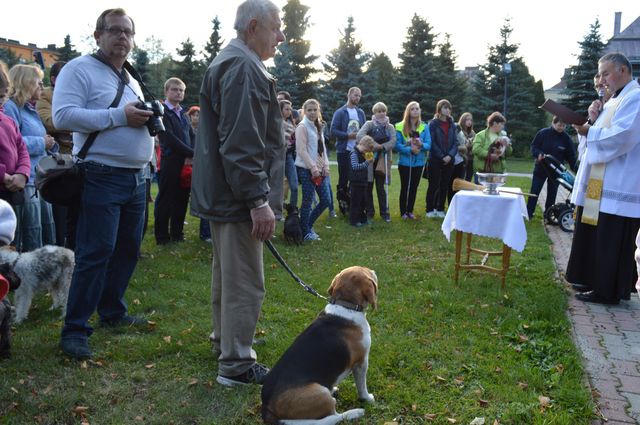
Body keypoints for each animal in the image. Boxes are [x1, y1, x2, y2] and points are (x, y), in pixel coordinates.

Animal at [262, 264, 378, 424]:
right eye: (365, 270)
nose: (374, 270)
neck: (345, 306)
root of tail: (267, 410)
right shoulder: (361, 362)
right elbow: (362, 386)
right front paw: (367, 399)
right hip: (321, 393)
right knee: (334, 417)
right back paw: (355, 412)